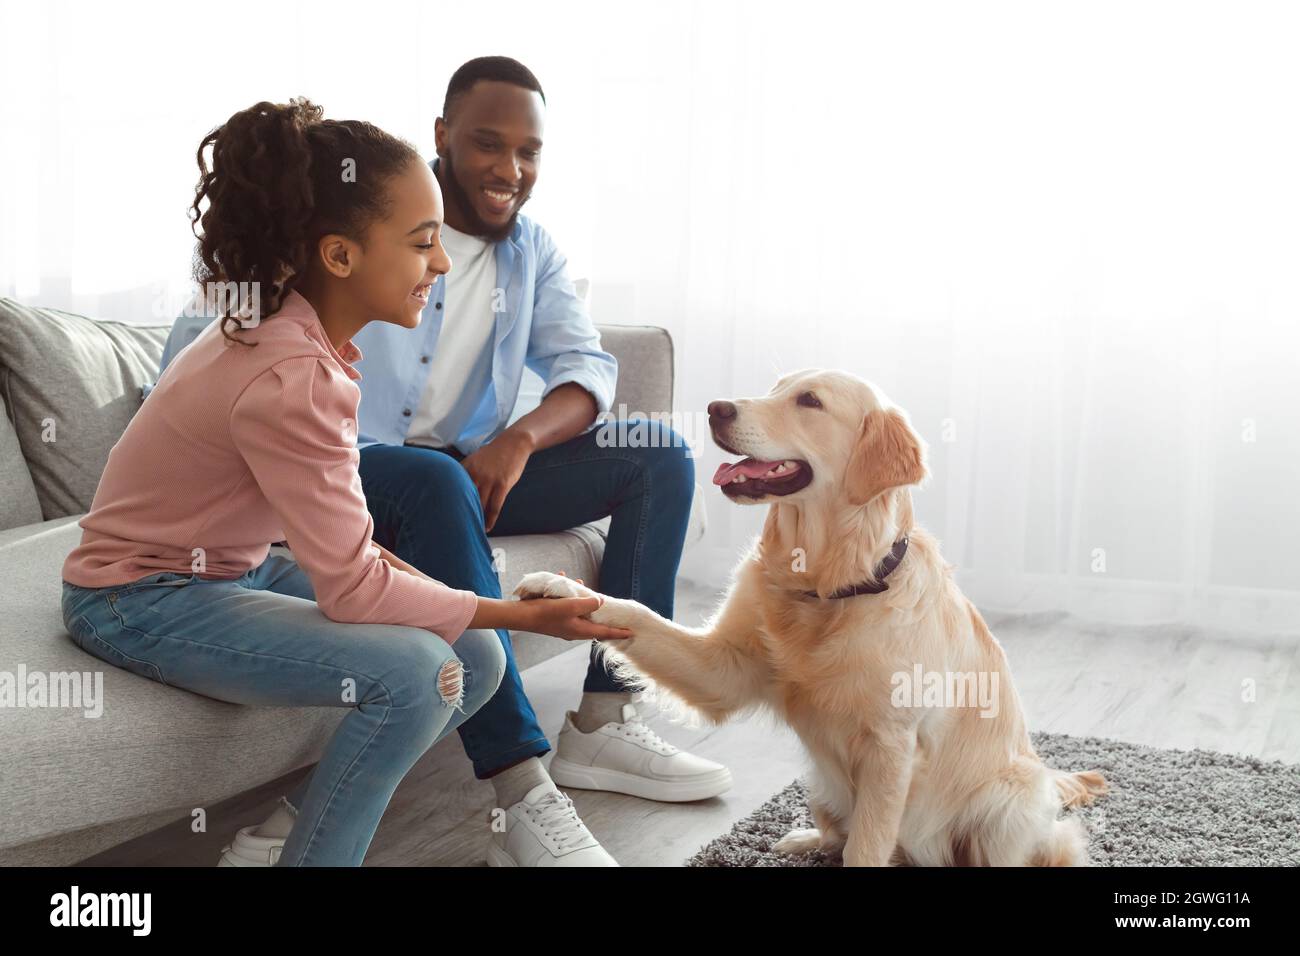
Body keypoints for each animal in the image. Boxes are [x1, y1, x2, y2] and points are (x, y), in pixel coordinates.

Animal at [512, 371, 1102, 868]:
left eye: (810, 401)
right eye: (774, 388)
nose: (716, 408)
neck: (829, 586)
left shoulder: (891, 748)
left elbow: (867, 848)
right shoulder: (722, 669)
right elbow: (634, 612)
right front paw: (562, 588)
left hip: (1008, 801)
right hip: (821, 782)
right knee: (835, 833)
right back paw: (802, 839)